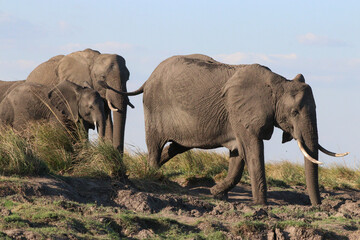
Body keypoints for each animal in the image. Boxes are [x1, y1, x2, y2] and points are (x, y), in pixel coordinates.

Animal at [122, 54, 348, 206]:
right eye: (294, 112)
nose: (318, 207)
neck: (278, 83)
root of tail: (148, 79)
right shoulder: (242, 113)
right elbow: (252, 151)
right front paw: (261, 205)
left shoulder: (240, 118)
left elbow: (238, 155)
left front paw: (217, 193)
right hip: (153, 107)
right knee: (155, 145)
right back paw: (152, 174)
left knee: (176, 147)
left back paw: (155, 170)